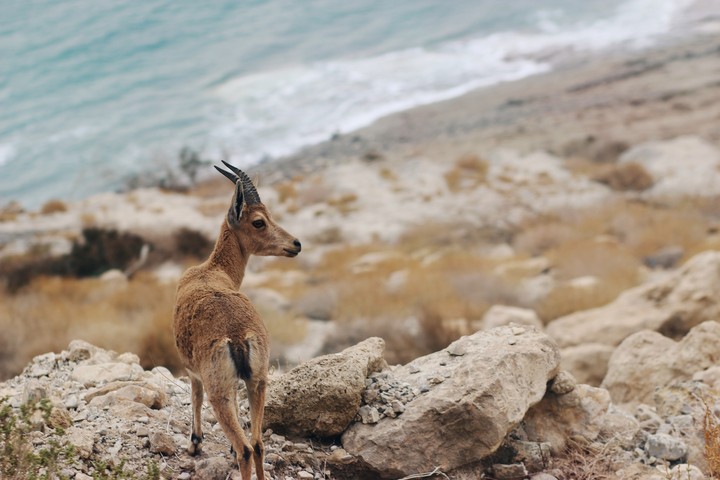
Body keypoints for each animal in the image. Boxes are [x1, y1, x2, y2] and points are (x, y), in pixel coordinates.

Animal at [173, 161, 301, 480]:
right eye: (259, 221)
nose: (296, 244)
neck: (213, 269)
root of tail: (238, 337)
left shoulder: (194, 372)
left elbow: (195, 397)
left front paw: (194, 444)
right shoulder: (237, 382)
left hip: (218, 388)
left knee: (246, 448)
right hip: (259, 381)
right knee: (257, 444)